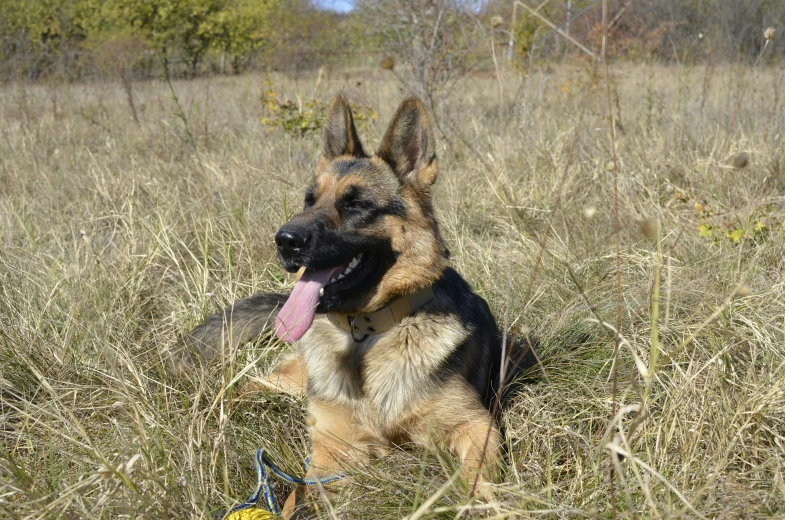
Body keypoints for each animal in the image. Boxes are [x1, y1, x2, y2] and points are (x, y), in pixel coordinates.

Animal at [185, 95, 532, 512]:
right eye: (309, 200)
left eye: (357, 205)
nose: (284, 241)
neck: (364, 335)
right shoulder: (331, 451)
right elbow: (299, 496)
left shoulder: (476, 425)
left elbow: (475, 476)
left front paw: (476, 502)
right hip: (296, 381)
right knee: (253, 383)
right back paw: (214, 411)